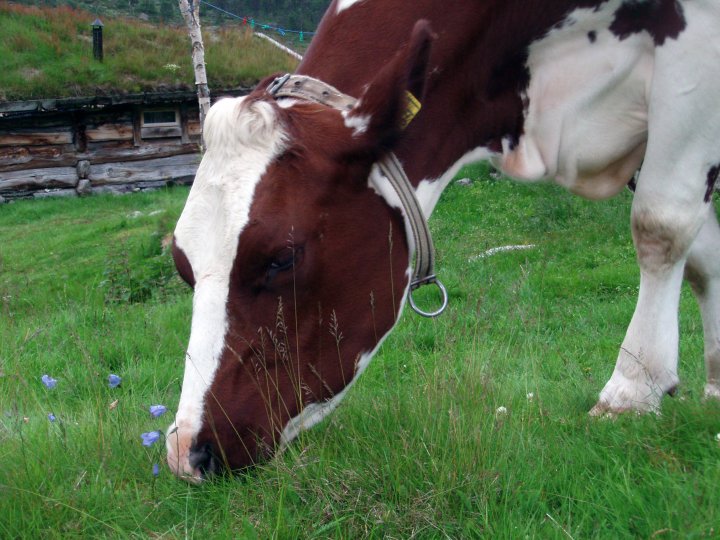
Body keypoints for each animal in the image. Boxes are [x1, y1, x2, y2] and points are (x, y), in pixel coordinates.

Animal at [166, 0, 720, 480]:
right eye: (180, 262)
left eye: (281, 257)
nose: (186, 453)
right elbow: (705, 257)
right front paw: (715, 387)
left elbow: (661, 225)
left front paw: (632, 391)